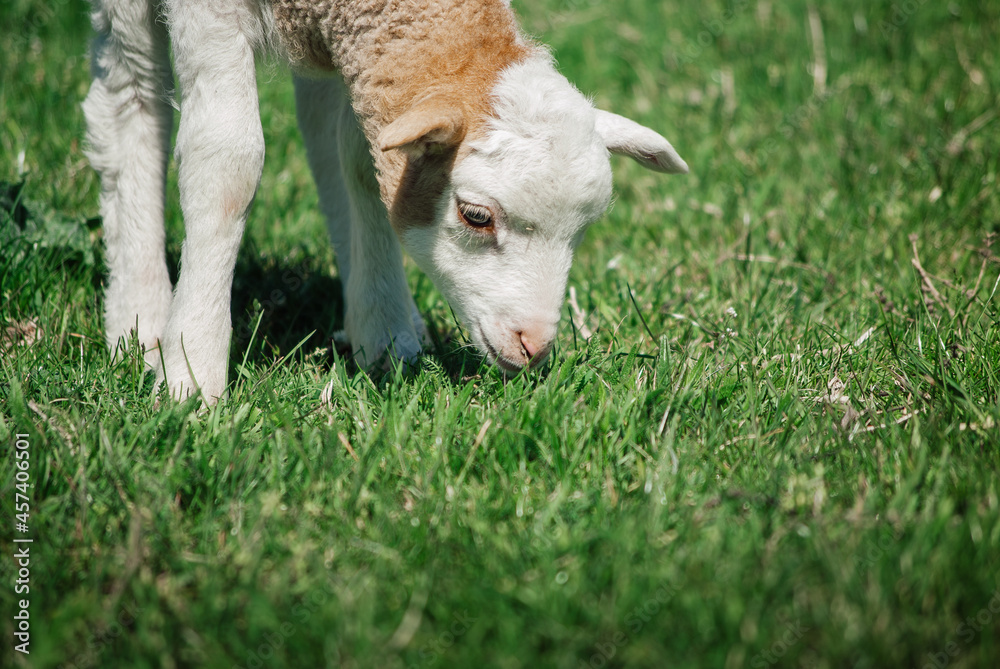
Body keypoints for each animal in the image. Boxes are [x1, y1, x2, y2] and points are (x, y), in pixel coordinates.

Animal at [83, 0, 688, 404]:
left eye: (582, 231)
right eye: (475, 216)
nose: (533, 346)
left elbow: (362, 160)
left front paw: (386, 333)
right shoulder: (207, 13)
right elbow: (227, 161)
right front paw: (191, 373)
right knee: (131, 95)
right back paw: (139, 317)